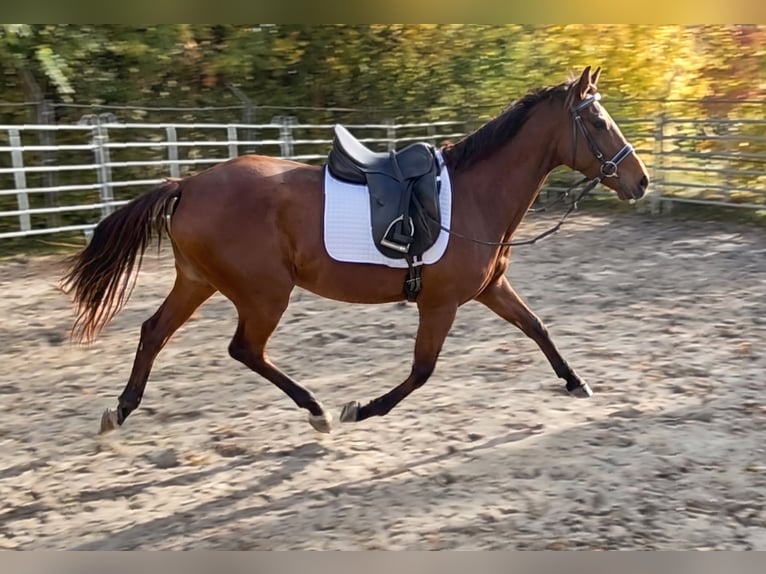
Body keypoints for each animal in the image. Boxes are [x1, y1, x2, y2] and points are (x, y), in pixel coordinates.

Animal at [61, 66, 649, 435]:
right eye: (598, 122)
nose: (640, 181)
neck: (474, 194)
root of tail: (187, 184)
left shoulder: (491, 289)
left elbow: (537, 328)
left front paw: (576, 382)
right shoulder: (440, 304)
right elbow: (422, 371)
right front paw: (362, 409)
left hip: (198, 282)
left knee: (154, 332)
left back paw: (120, 412)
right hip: (264, 294)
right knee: (245, 349)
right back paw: (318, 410)